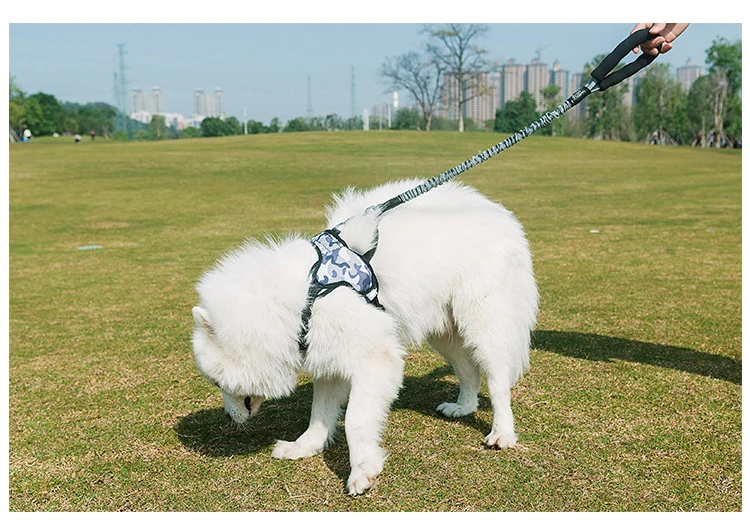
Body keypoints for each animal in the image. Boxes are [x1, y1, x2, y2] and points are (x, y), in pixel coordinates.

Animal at [191, 179, 536, 498]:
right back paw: (463, 407)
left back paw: (502, 434)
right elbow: (319, 413)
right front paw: (305, 447)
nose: (227, 417)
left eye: (217, 383)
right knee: (468, 371)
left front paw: (362, 471)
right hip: (444, 331)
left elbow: (355, 419)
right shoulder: (330, 360)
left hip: (483, 324)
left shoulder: (376, 357)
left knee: (497, 381)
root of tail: (500, 215)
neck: (304, 300)